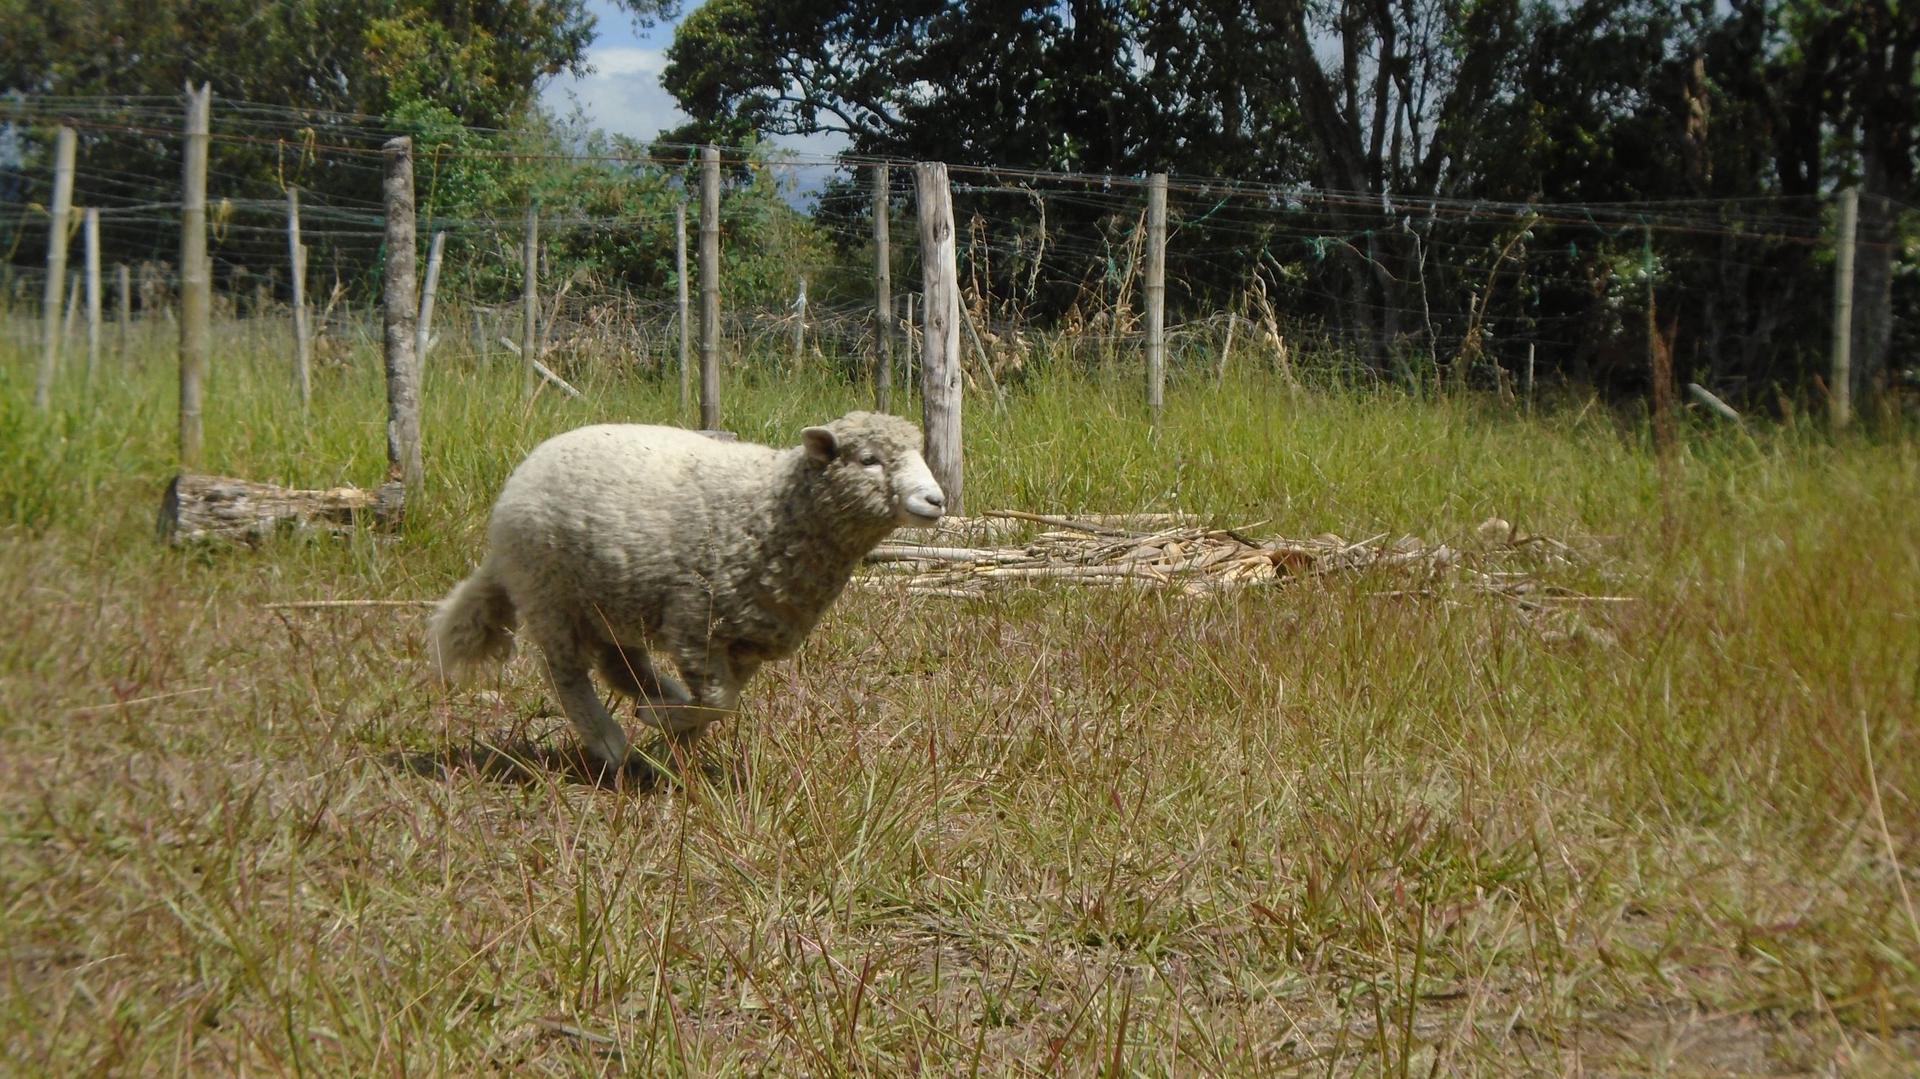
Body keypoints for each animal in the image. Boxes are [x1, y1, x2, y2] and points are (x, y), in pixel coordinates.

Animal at [430, 411, 947, 770]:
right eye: (869, 460)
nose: (936, 499)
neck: (771, 506)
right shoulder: (697, 620)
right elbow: (718, 703)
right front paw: (663, 726)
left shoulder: (746, 636)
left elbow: (720, 705)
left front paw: (671, 737)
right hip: (550, 595)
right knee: (568, 675)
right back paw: (610, 743)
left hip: (611, 599)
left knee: (620, 665)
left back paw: (657, 701)